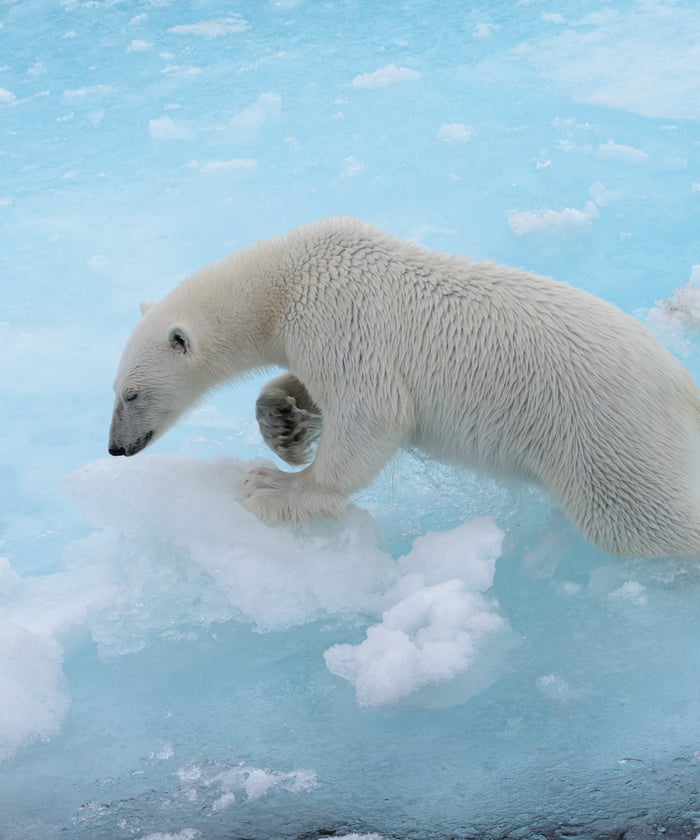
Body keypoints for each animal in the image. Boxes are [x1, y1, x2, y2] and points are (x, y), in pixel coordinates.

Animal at [108, 217, 700, 558]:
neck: (284, 281)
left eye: (131, 394)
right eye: (113, 389)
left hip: (605, 438)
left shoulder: (337, 314)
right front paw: (285, 426)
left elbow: (372, 412)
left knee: (642, 519)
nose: (116, 447)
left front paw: (274, 486)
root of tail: (681, 383)